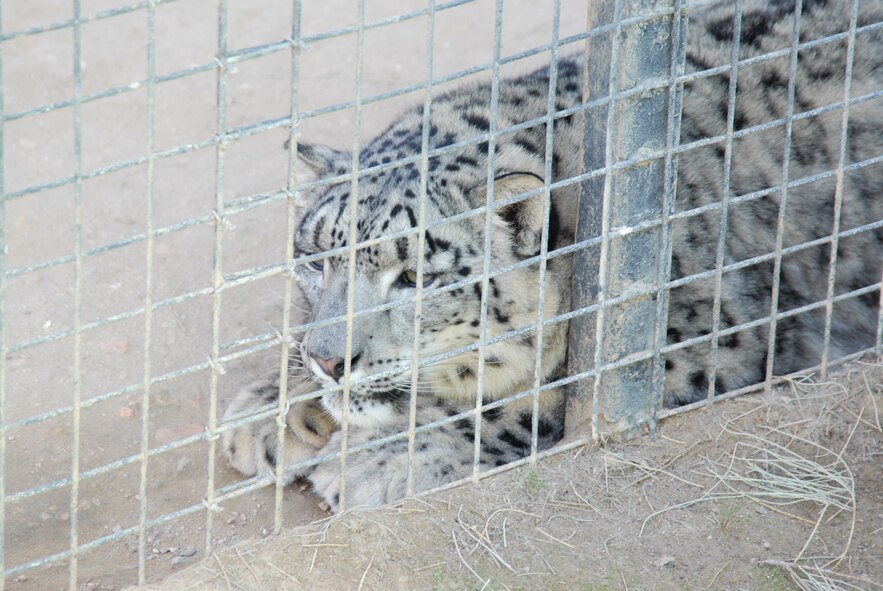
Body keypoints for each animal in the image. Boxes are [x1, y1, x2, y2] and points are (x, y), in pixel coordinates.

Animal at [222, 0, 883, 512]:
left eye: (415, 278)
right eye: (316, 260)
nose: (330, 362)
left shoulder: (715, 329)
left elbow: (535, 398)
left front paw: (376, 462)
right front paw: (270, 411)